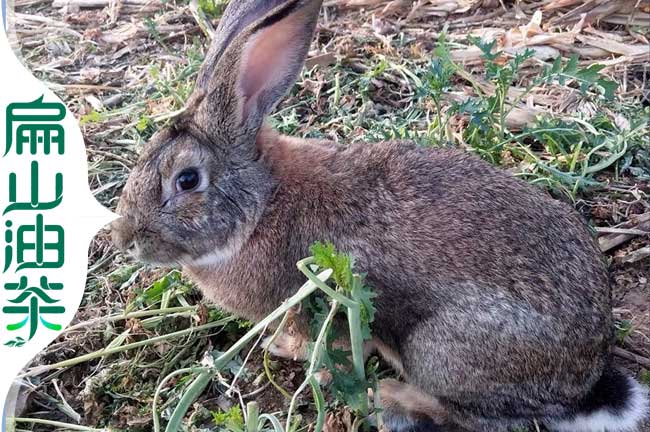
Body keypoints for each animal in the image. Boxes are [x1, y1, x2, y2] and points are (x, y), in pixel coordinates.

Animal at [109, 0, 644, 432]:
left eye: (187, 181)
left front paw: (296, 355)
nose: (124, 239)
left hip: (438, 350)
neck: (263, 204)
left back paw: (392, 400)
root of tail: (585, 378)